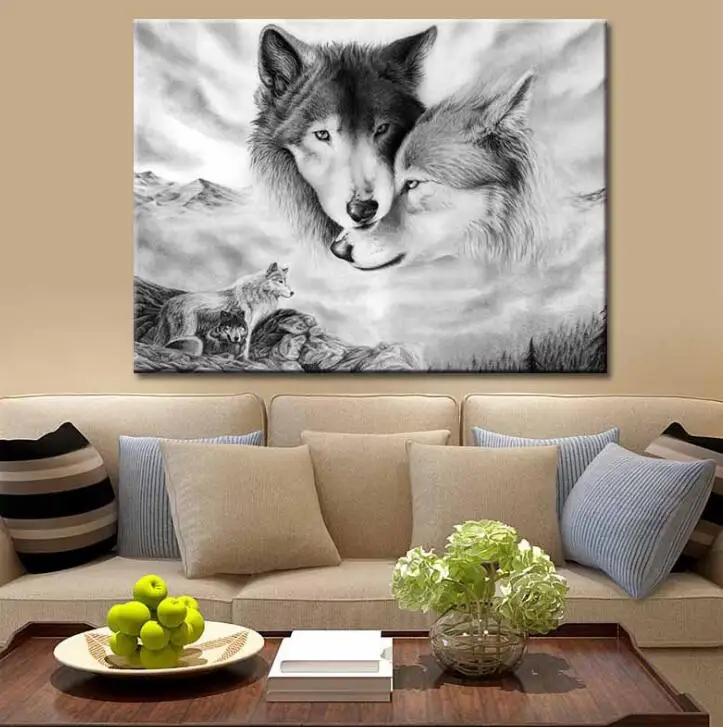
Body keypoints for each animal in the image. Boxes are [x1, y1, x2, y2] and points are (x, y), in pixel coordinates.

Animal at [154, 262, 294, 360]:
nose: (293, 292)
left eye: (286, 282)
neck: (258, 292)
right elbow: (245, 346)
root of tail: (168, 303)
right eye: (280, 281)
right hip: (187, 332)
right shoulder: (246, 326)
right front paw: (244, 360)